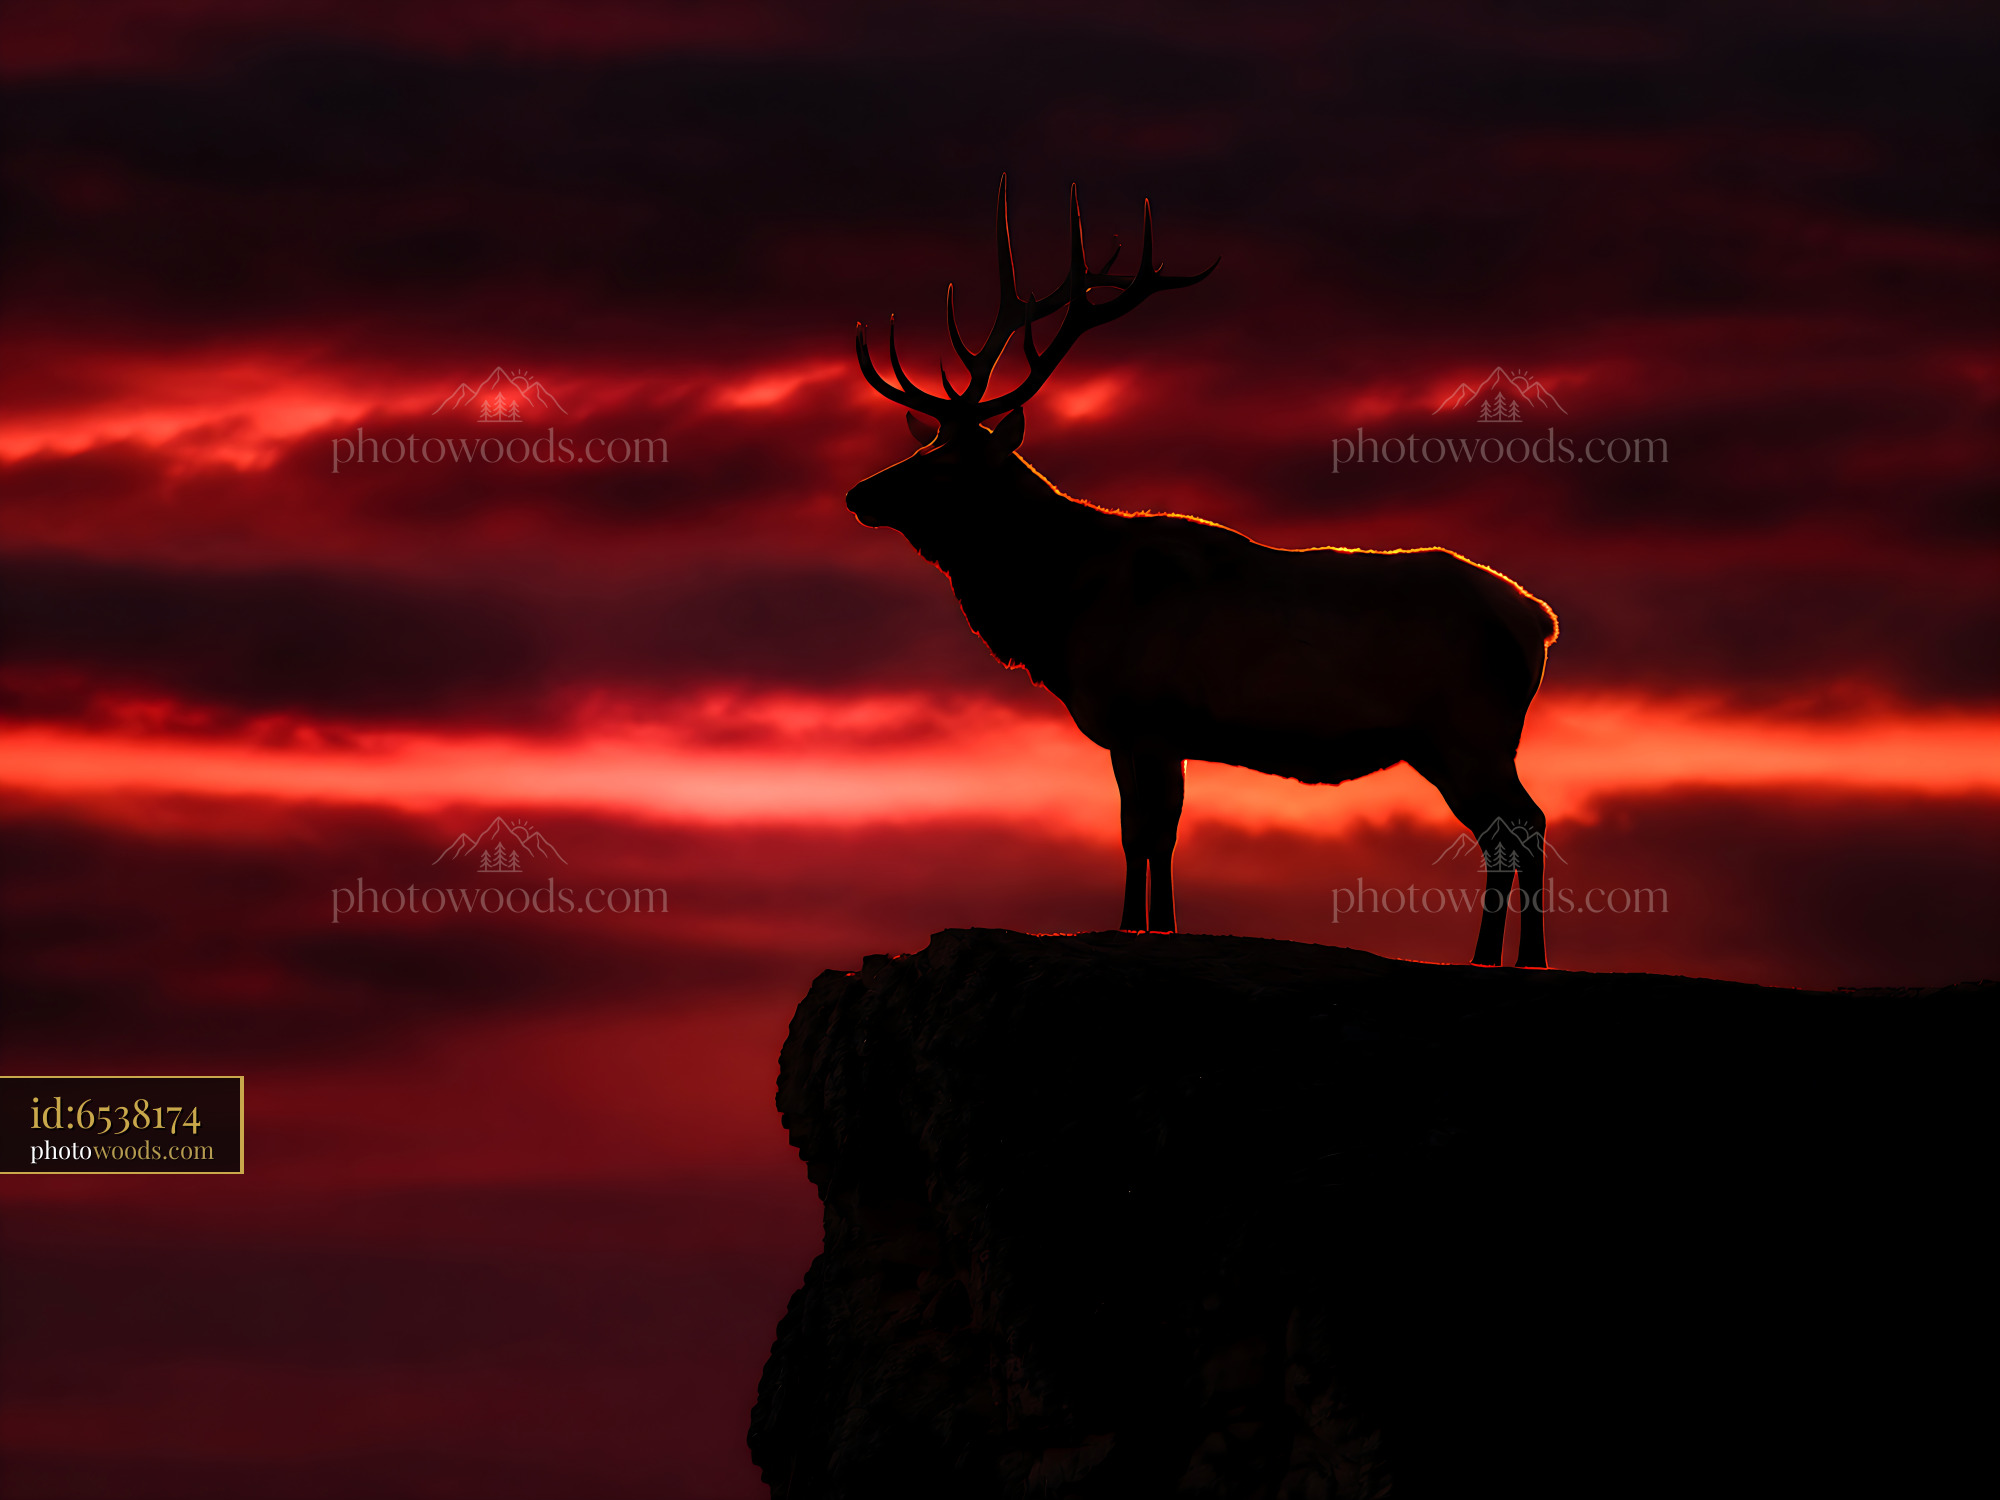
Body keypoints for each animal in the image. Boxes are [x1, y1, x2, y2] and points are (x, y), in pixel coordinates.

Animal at [848, 179, 1559, 967]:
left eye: (944, 465)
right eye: (920, 448)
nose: (858, 495)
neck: (1061, 608)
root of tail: (1538, 620)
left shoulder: (1148, 717)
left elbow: (1148, 833)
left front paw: (1142, 928)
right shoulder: (1148, 733)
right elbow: (1149, 836)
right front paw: (1150, 923)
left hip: (1472, 727)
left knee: (1525, 824)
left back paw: (1521, 960)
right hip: (1448, 742)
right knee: (1506, 832)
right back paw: (1490, 957)